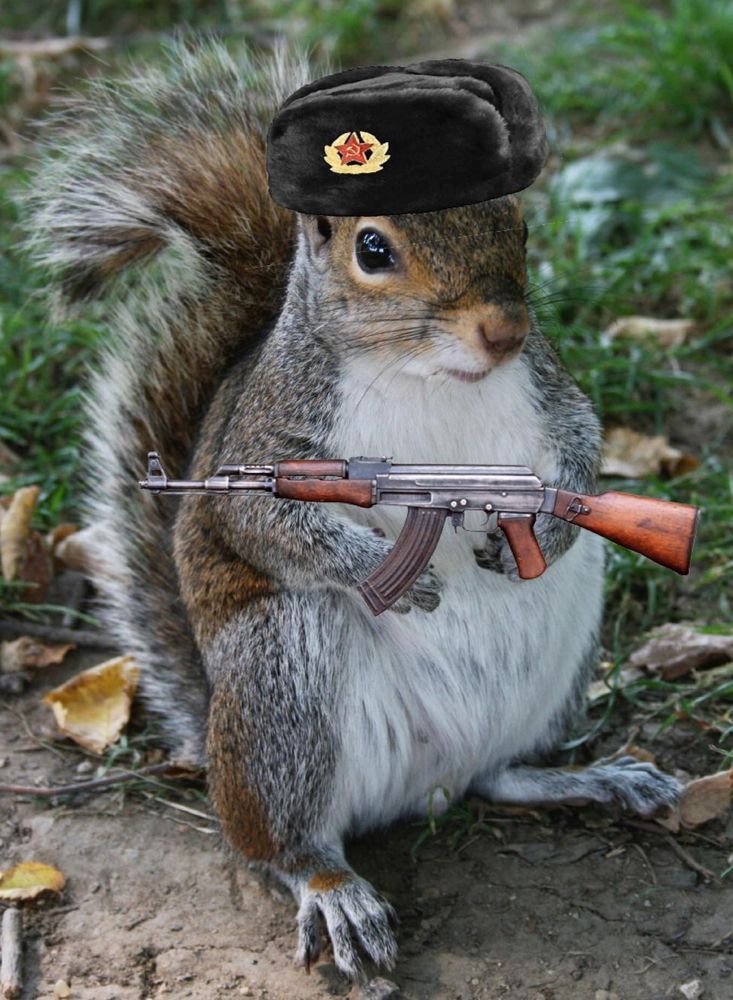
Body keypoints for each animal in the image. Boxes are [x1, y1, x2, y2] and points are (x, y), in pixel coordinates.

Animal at [27, 41, 682, 980]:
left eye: (517, 223)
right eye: (373, 247)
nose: (503, 332)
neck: (430, 372)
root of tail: (425, 786)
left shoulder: (549, 386)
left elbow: (583, 439)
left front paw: (549, 525)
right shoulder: (266, 438)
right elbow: (256, 523)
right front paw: (385, 571)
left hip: (557, 655)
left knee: (498, 776)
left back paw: (593, 778)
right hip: (281, 668)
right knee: (278, 845)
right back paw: (333, 891)